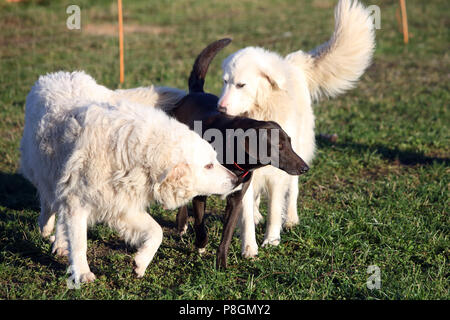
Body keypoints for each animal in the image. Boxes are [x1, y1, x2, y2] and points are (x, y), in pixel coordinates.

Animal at [216, 0, 374, 256]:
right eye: (225, 82)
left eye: (241, 85)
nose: (219, 107)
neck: (261, 111)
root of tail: (293, 63)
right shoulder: (246, 174)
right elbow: (246, 212)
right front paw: (249, 247)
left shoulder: (280, 171)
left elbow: (275, 208)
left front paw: (272, 239)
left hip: (299, 153)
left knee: (294, 189)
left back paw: (291, 219)